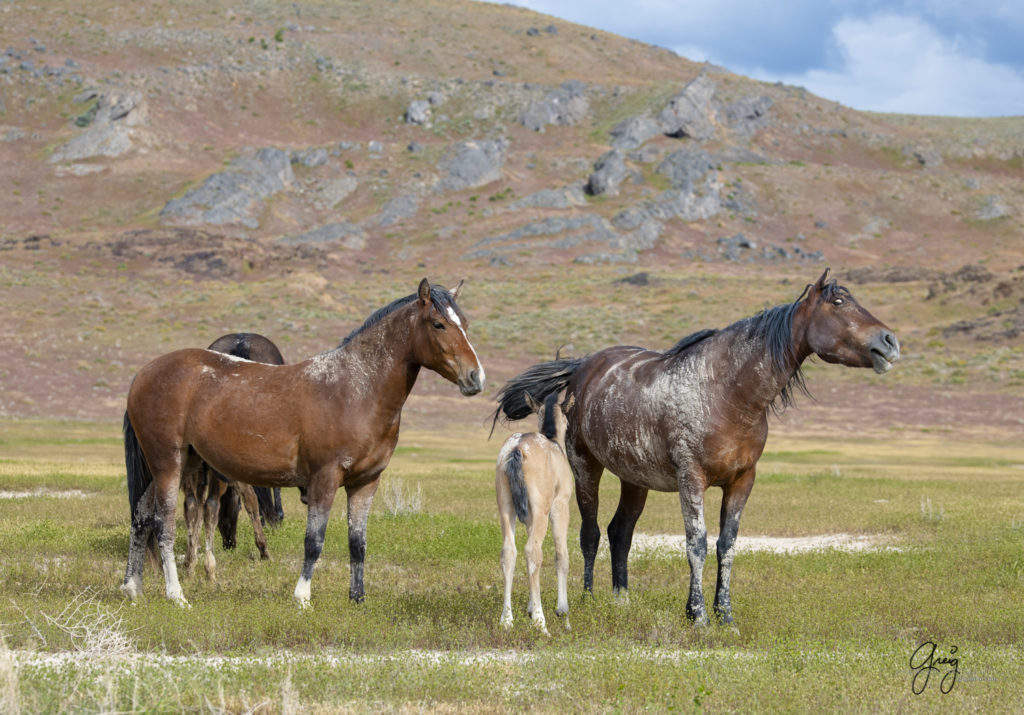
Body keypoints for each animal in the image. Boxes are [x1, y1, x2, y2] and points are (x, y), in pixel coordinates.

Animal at [120, 280, 487, 602]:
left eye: (465, 323)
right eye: (438, 324)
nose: (476, 378)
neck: (355, 390)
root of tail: (144, 374)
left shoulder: (365, 483)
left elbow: (358, 544)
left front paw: (357, 600)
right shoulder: (324, 478)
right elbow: (314, 541)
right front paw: (302, 598)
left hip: (183, 463)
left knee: (141, 516)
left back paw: (132, 588)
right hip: (169, 464)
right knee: (163, 524)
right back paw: (176, 595)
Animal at [491, 270, 901, 626]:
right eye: (838, 302)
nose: (890, 342)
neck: (727, 393)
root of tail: (582, 368)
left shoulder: (742, 481)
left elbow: (727, 545)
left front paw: (725, 615)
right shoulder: (692, 480)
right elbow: (697, 544)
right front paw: (698, 615)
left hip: (634, 479)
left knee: (620, 533)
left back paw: (622, 598)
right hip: (585, 468)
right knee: (590, 533)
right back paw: (588, 599)